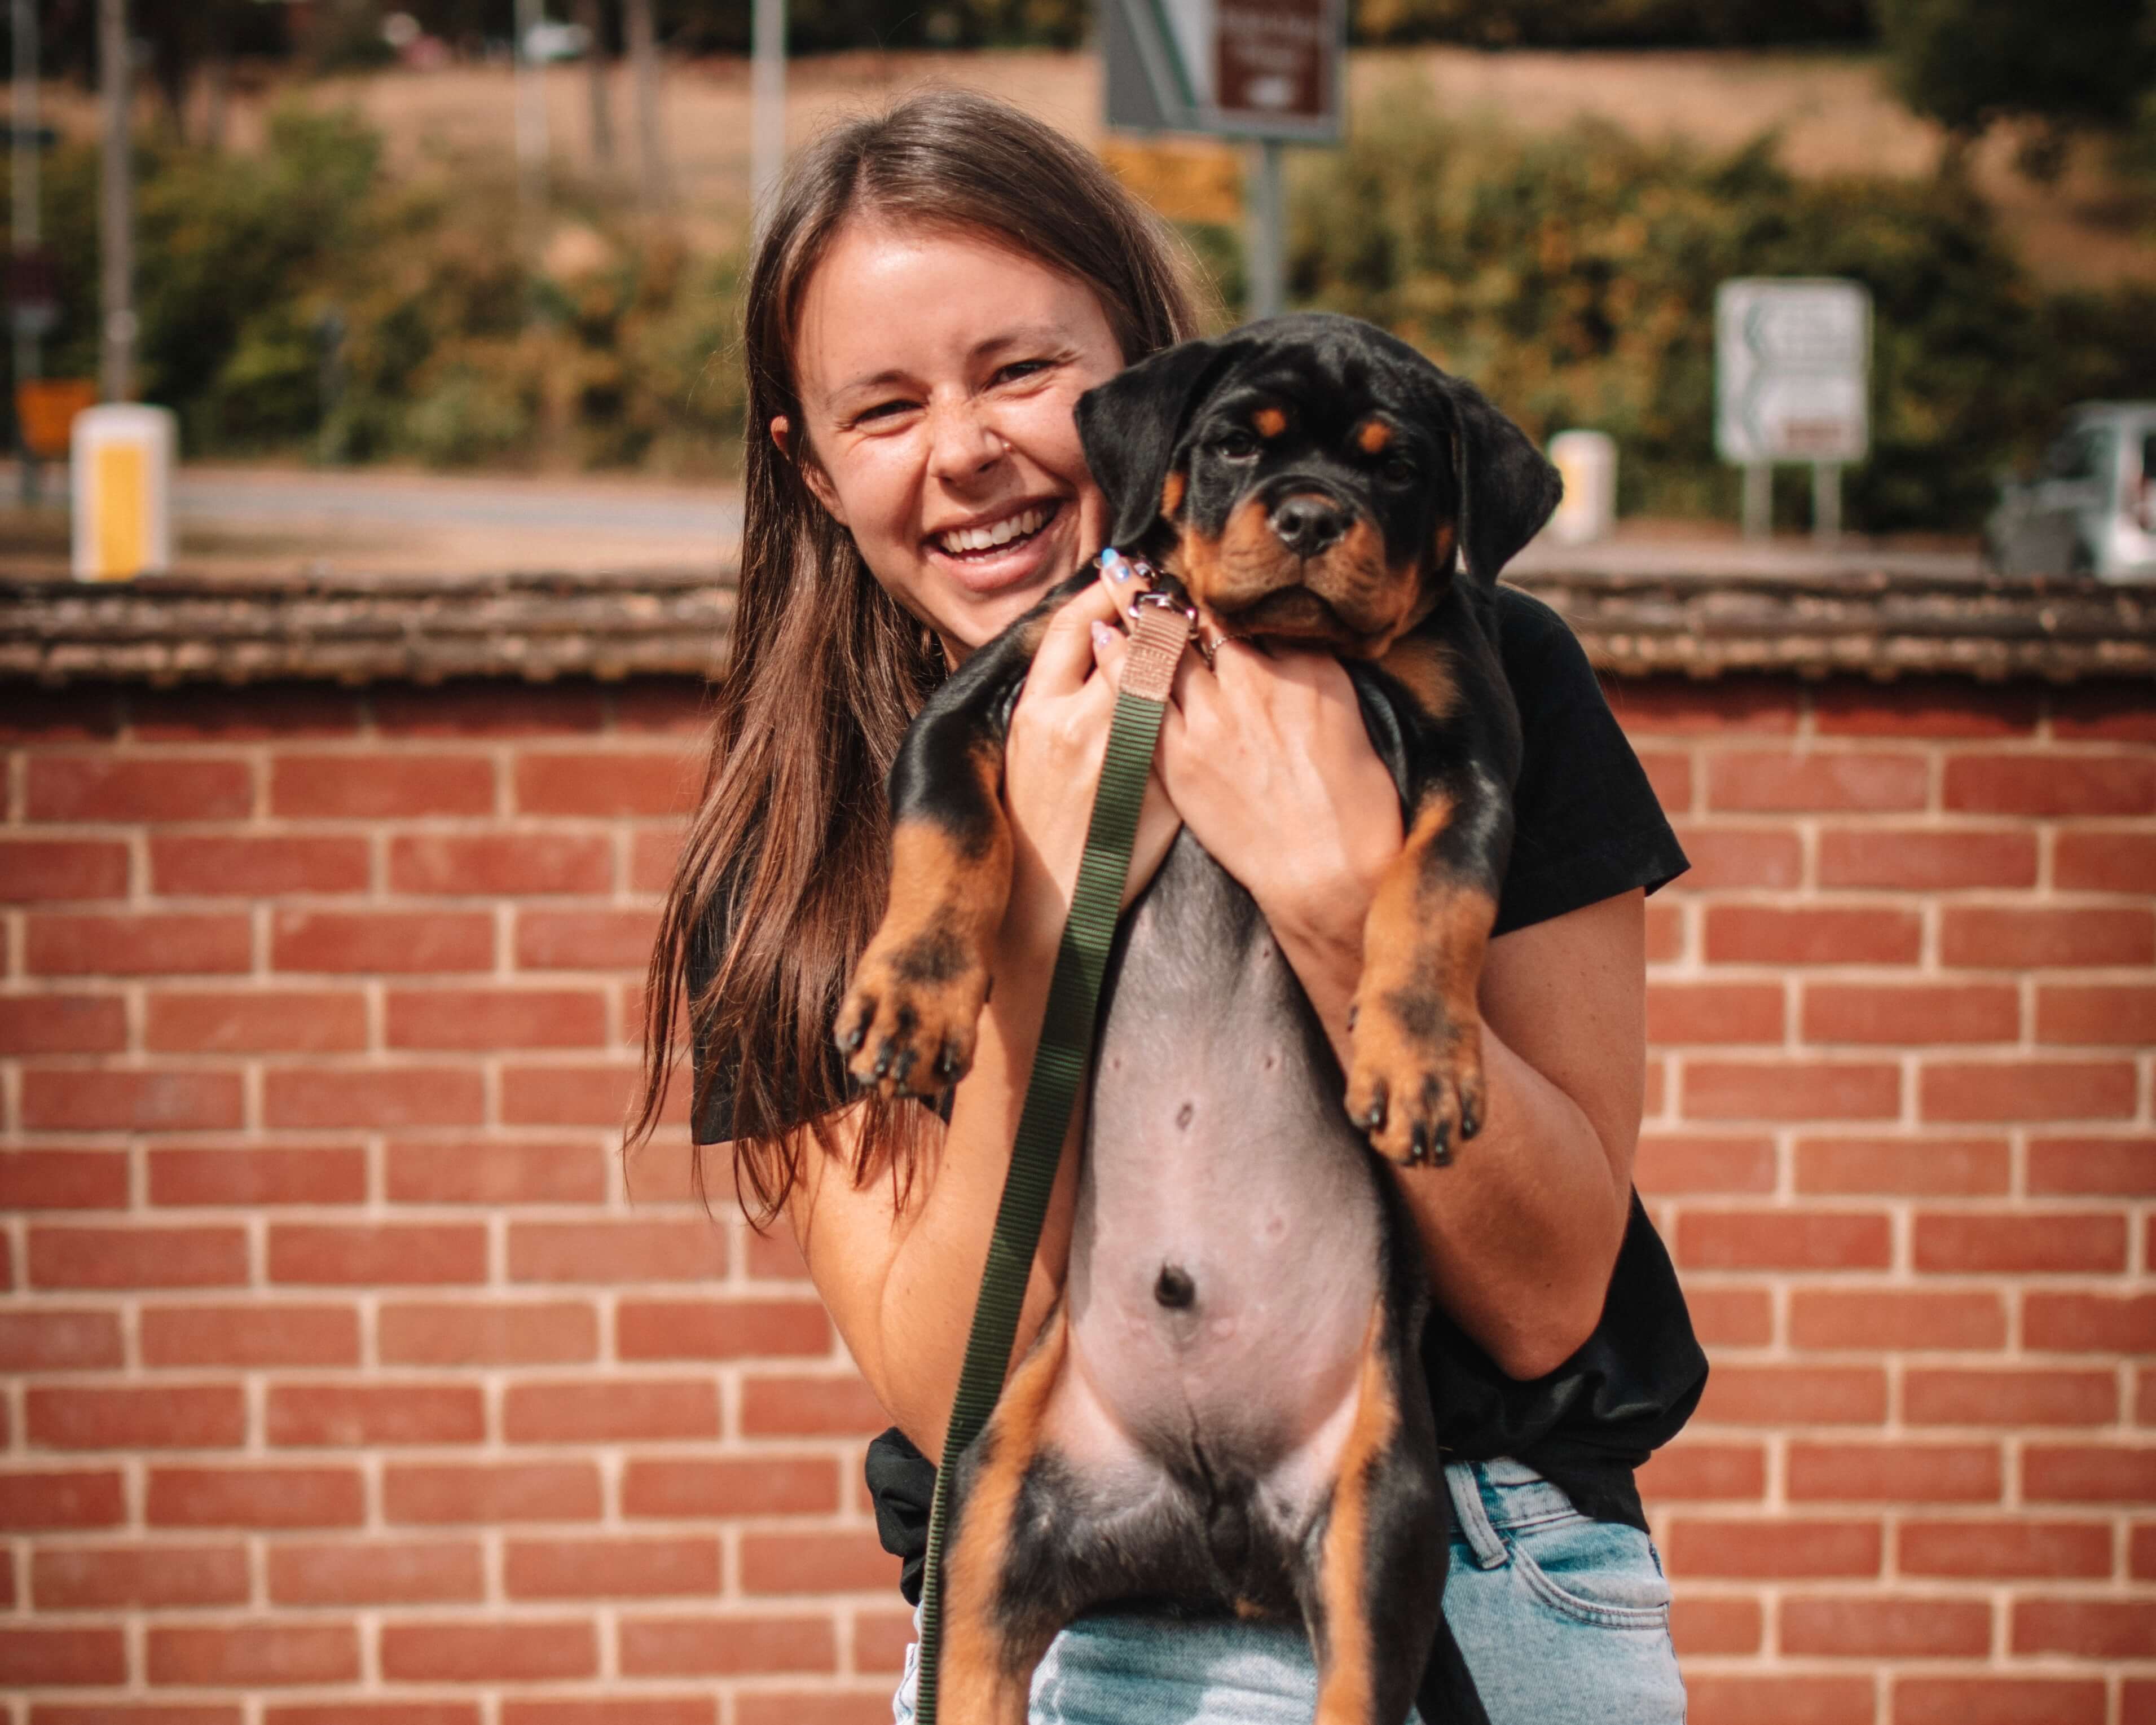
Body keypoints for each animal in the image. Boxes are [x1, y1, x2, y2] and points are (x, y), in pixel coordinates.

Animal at [832, 310, 1561, 1725]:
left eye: (1398, 467)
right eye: (1234, 442)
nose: (1313, 515)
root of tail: (1209, 1531)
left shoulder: (1474, 749)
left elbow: (1434, 892)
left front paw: (1421, 1061)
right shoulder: (984, 693)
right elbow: (948, 837)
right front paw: (914, 992)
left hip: (1383, 1521)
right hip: (989, 1523)